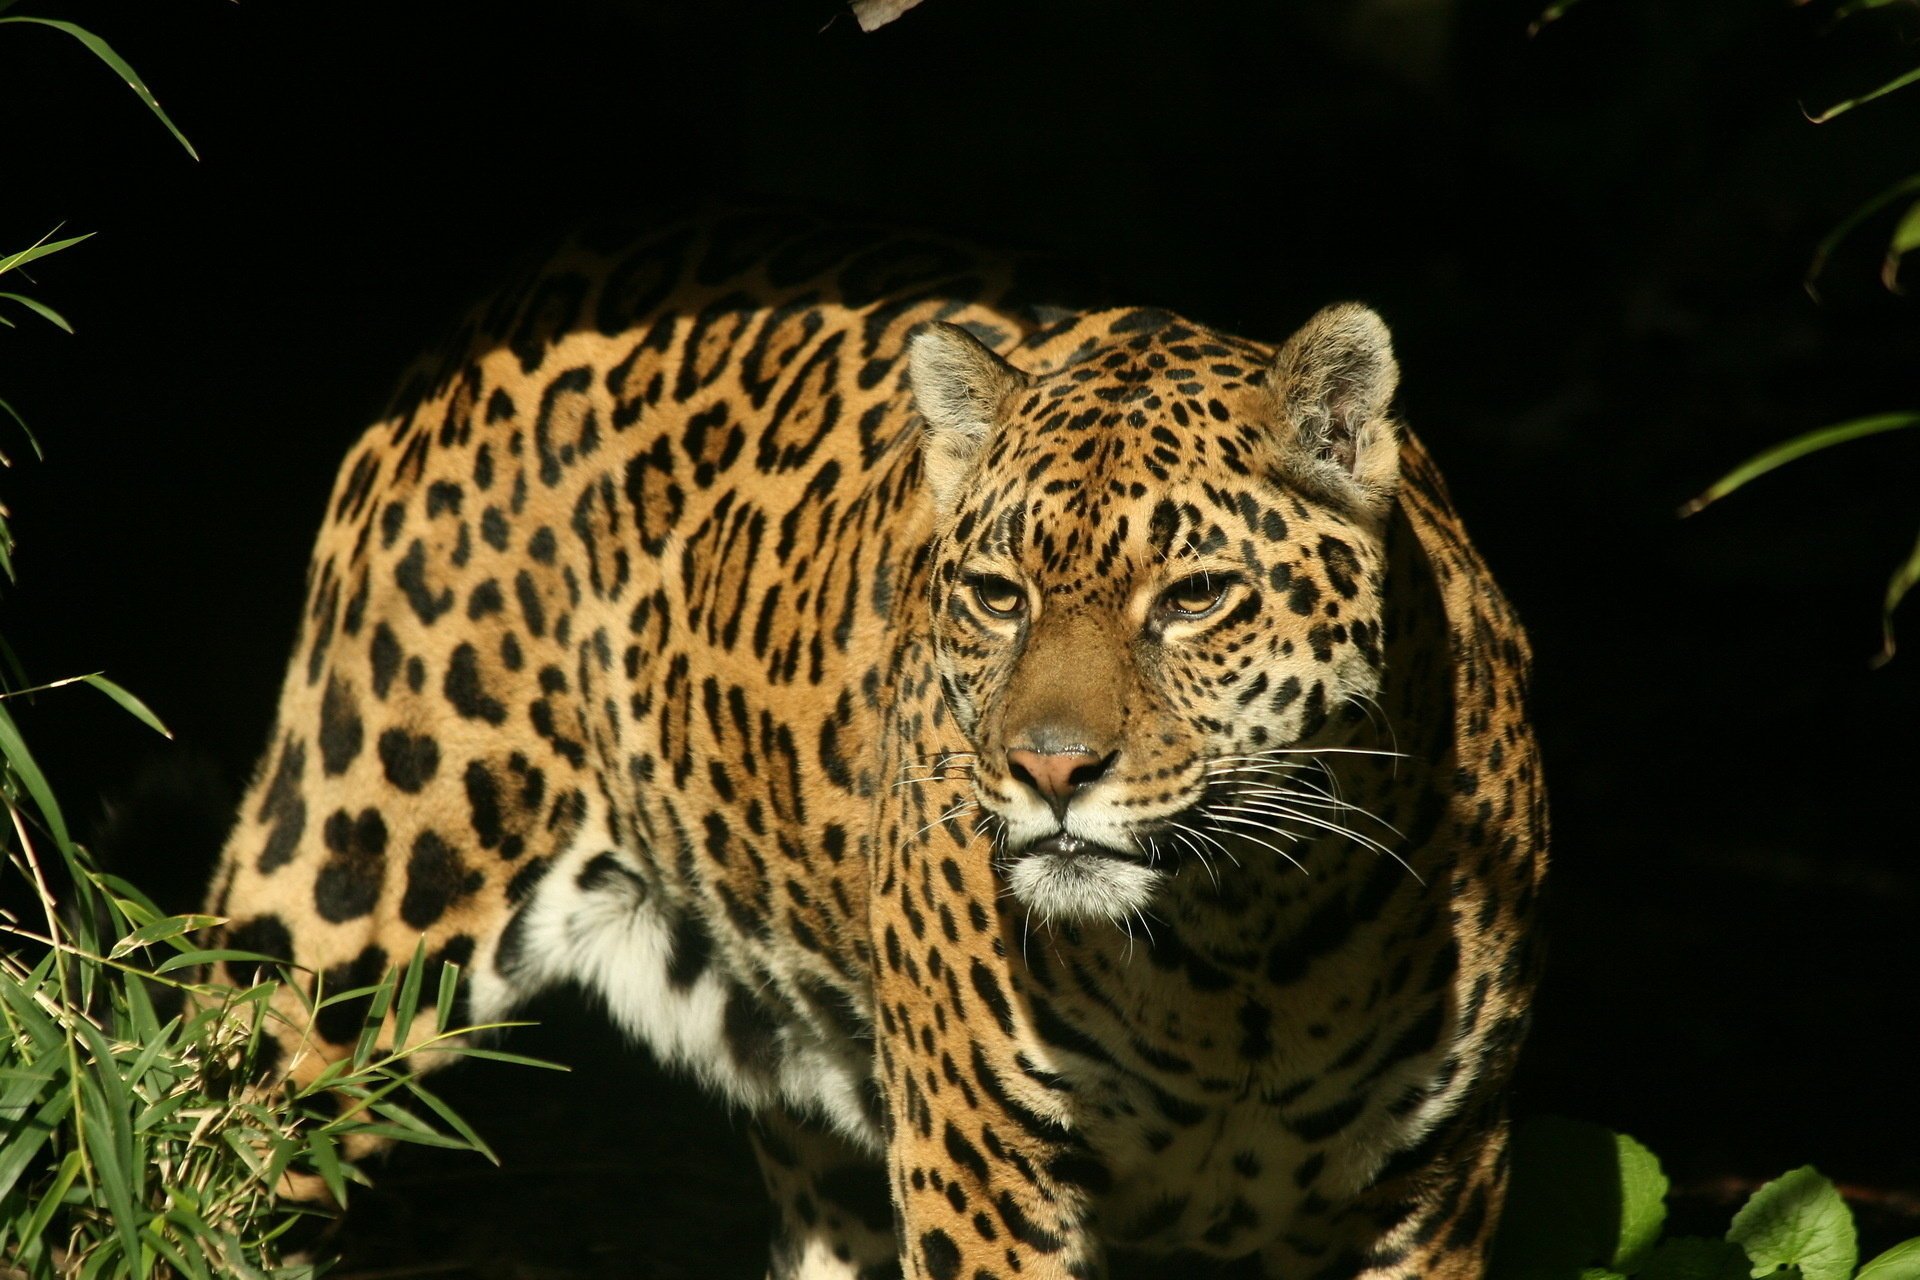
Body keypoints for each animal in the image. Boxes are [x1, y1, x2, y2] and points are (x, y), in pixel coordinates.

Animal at [203, 211, 1548, 1280]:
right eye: (999, 595)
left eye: (1196, 594)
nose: (1051, 770)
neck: (1244, 949)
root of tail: (525, 293)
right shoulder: (984, 1168)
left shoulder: (1437, 1186)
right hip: (345, 912)